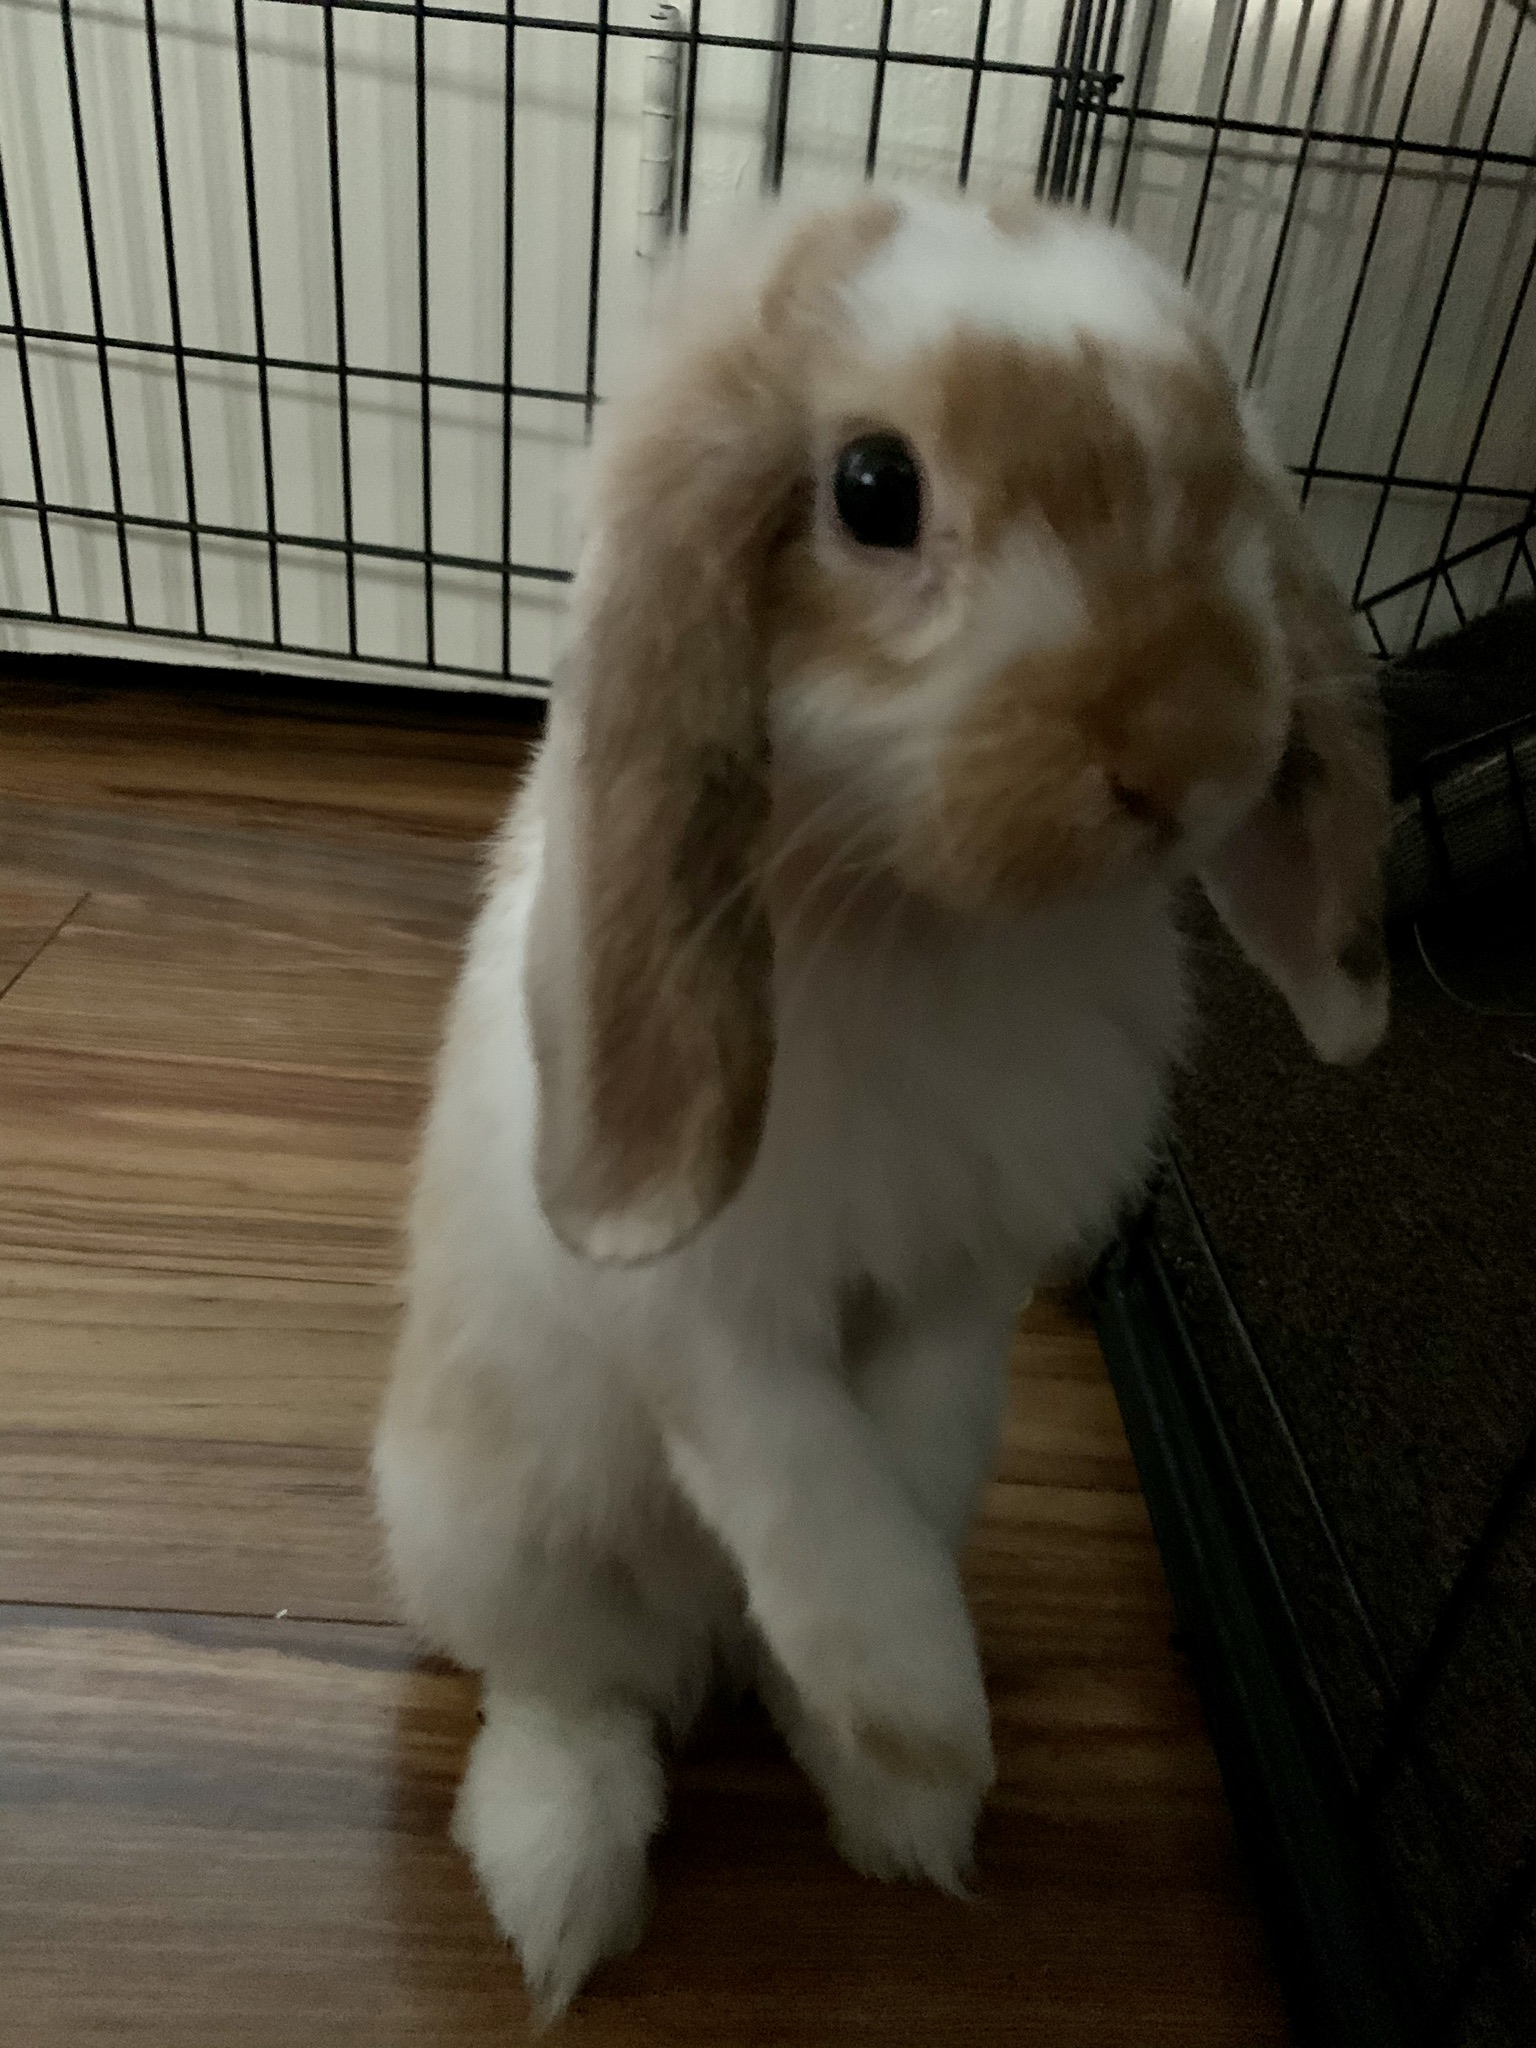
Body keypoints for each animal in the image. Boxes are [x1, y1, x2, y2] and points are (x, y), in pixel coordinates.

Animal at [373, 188, 1389, 2017]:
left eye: (1222, 465)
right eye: (871, 489)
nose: (1186, 743)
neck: (936, 925)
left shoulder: (962, 1284)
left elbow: (904, 1467)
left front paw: (910, 1760)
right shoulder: (714, 1322)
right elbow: (823, 1507)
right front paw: (926, 1717)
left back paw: (853, 1788)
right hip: (494, 1532)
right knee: (574, 1694)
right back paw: (565, 1883)